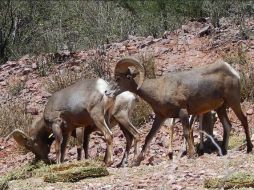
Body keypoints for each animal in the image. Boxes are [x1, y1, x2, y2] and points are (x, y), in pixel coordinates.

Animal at [8, 78, 139, 166]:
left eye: (30, 145)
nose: (43, 160)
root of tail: (104, 88)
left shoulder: (59, 126)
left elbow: (61, 147)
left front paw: (58, 165)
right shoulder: (68, 130)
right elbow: (66, 148)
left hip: (106, 118)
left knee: (111, 135)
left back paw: (110, 162)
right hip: (111, 119)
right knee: (127, 138)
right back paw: (119, 163)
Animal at [106, 57, 252, 166]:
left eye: (118, 78)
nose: (107, 92)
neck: (159, 89)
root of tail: (232, 71)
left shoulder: (183, 112)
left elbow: (186, 133)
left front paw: (192, 155)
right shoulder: (160, 117)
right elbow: (148, 137)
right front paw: (136, 162)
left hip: (233, 101)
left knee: (244, 119)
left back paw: (249, 149)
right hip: (220, 108)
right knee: (228, 126)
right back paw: (223, 151)